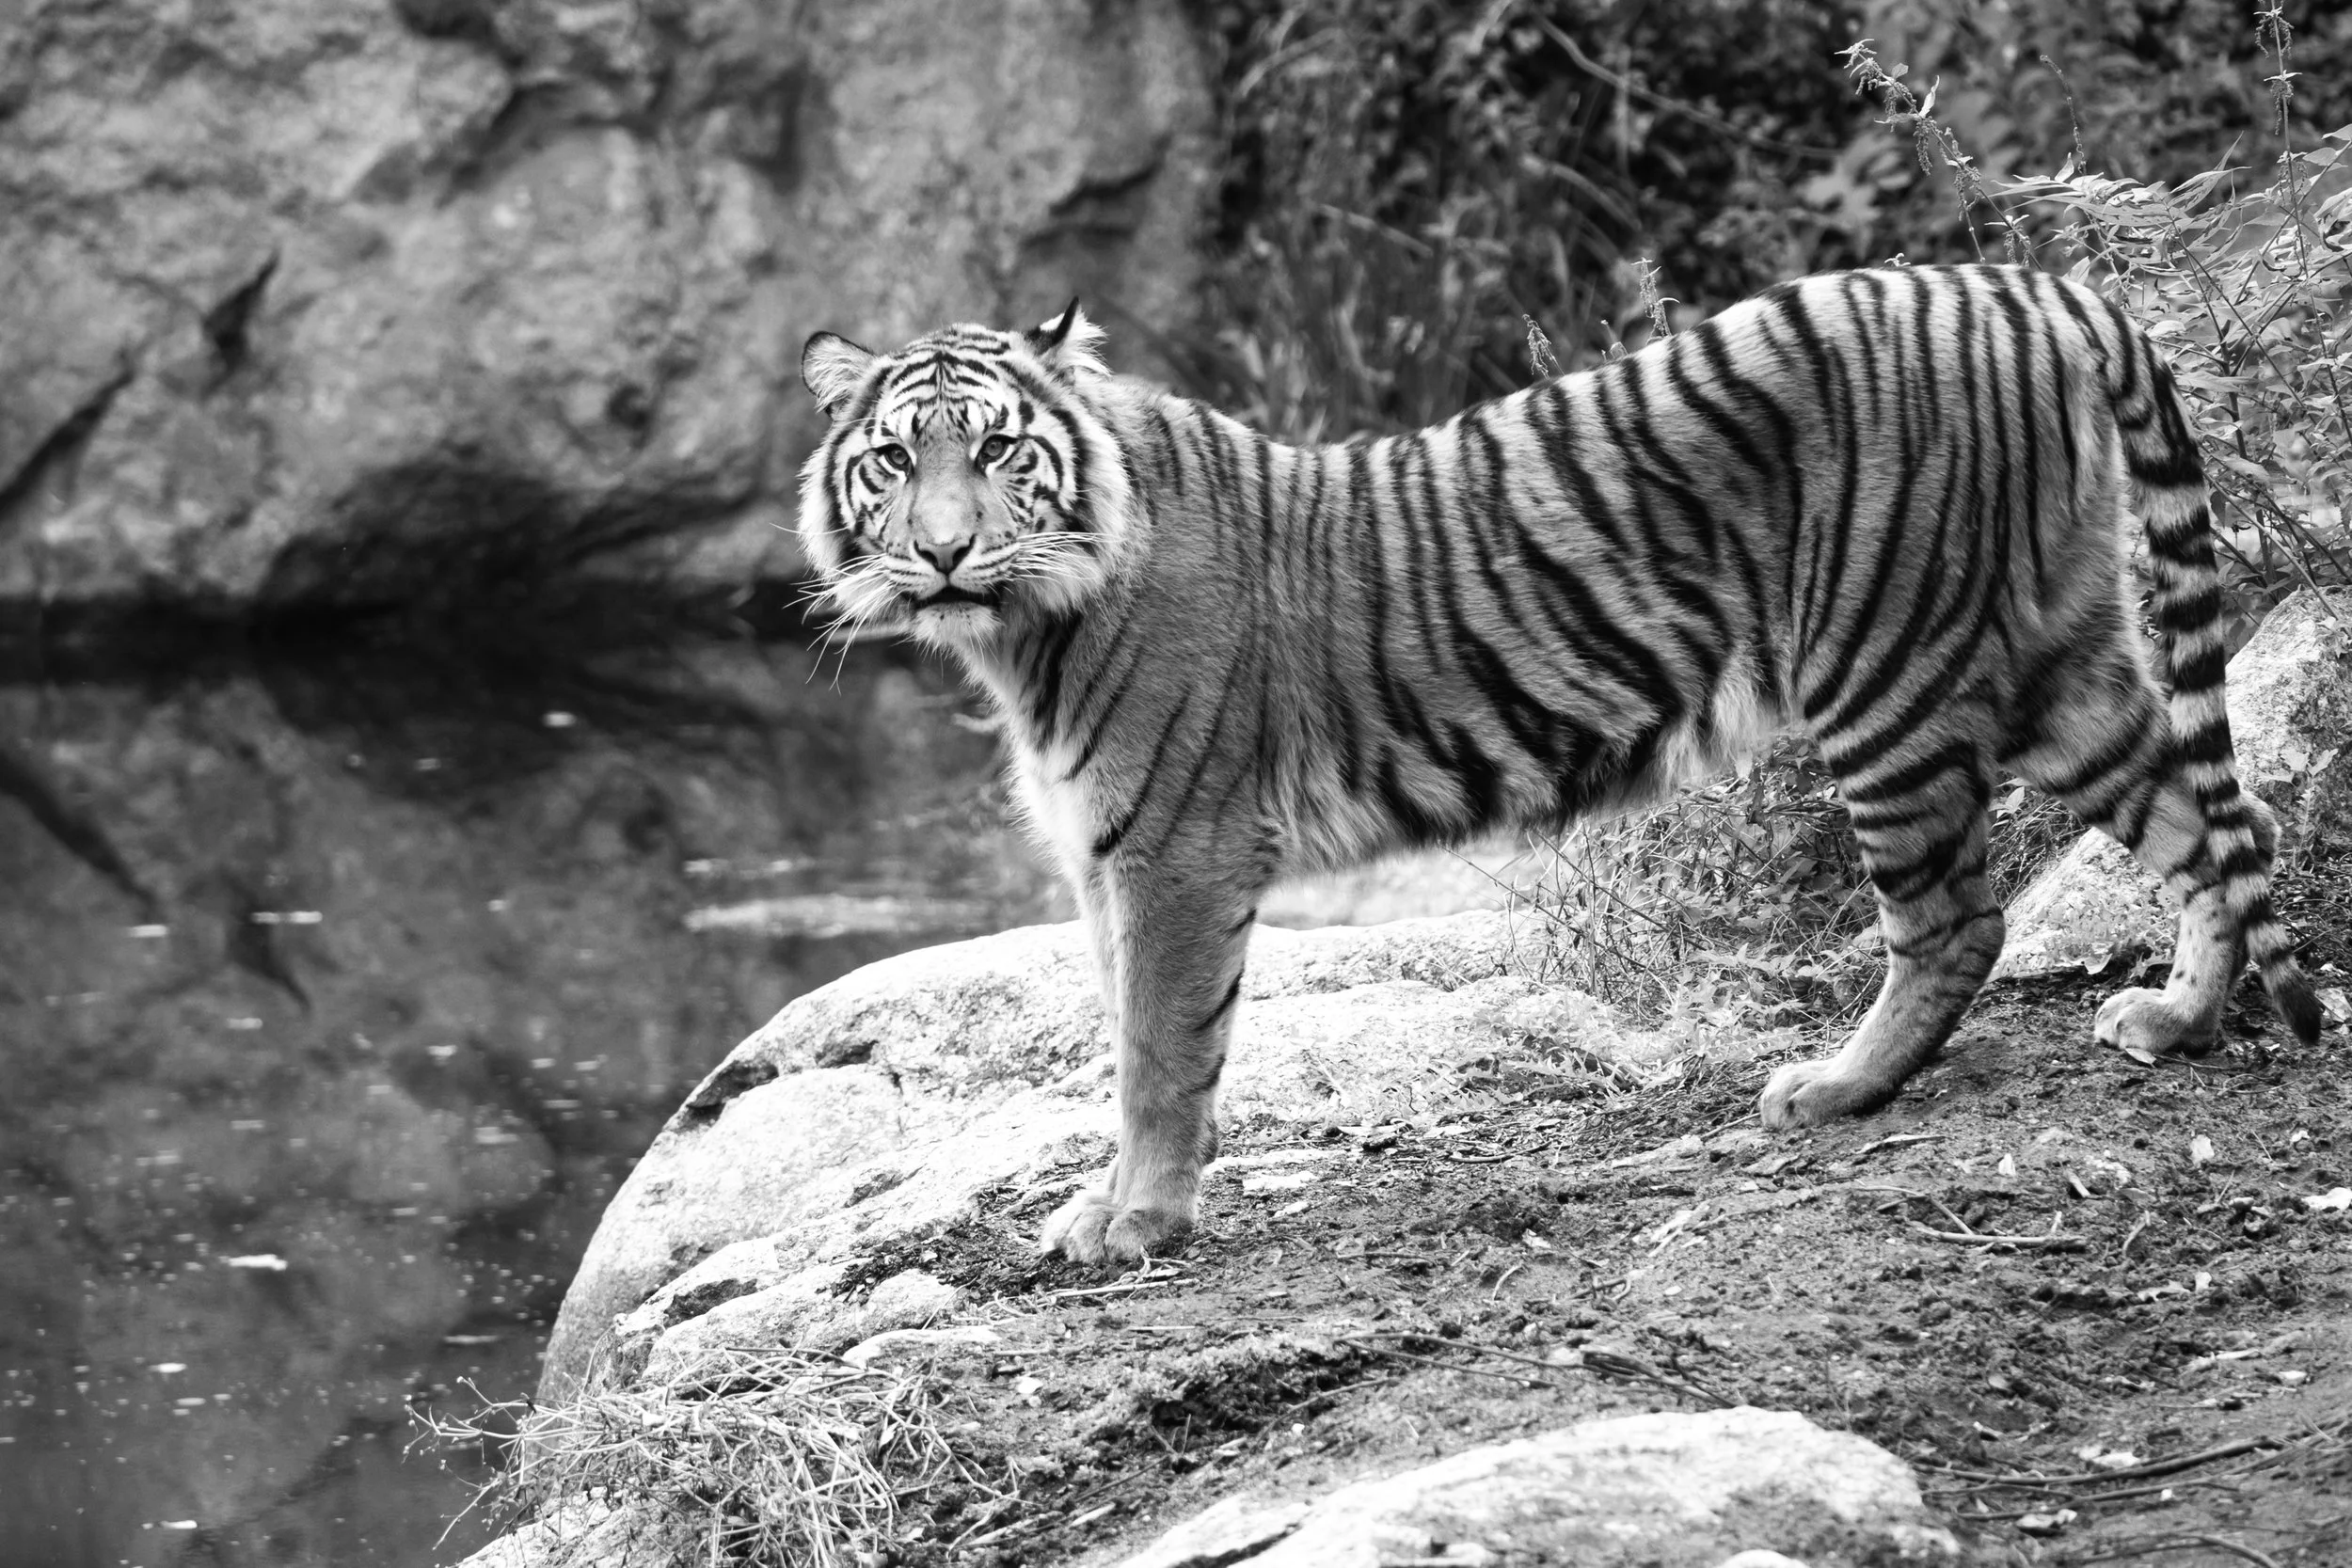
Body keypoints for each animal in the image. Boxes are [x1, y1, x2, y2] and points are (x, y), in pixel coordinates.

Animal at [797, 264, 2321, 1267]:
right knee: (2211, 816)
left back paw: (1833, 1088)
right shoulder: (1102, 852)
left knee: (1957, 914)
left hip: (1885, 667)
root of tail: (2028, 286)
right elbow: (1124, 1037)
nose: (942, 551)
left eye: (997, 448)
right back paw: (2177, 1018)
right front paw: (1101, 1207)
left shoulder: (1177, 845)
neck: (1021, 630)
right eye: (894, 460)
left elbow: (1159, 1050)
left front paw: (1136, 1224)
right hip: (2057, 659)